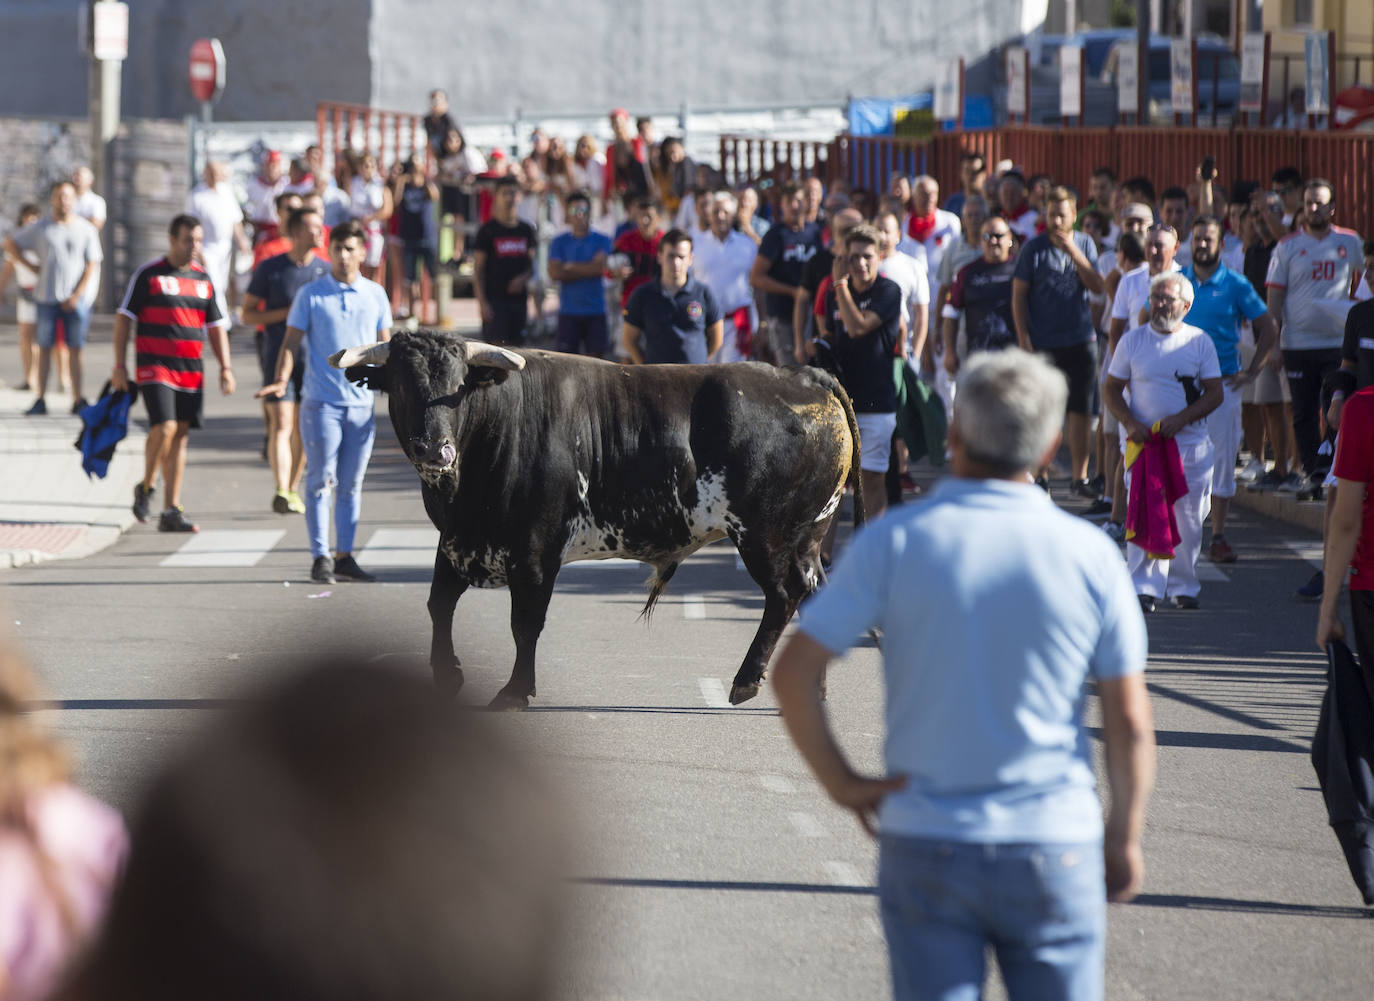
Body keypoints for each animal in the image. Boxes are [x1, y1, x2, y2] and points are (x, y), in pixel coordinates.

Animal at [329, 332, 857, 708]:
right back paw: (813, 687)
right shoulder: (456, 544)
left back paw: (746, 681)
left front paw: (515, 691)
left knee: (784, 595)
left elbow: (525, 623)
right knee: (816, 593)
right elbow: (438, 606)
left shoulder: (534, 554)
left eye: (458, 389)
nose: (435, 451)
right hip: (807, 538)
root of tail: (802, 375)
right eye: (401, 385)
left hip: (766, 536)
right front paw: (446, 675)